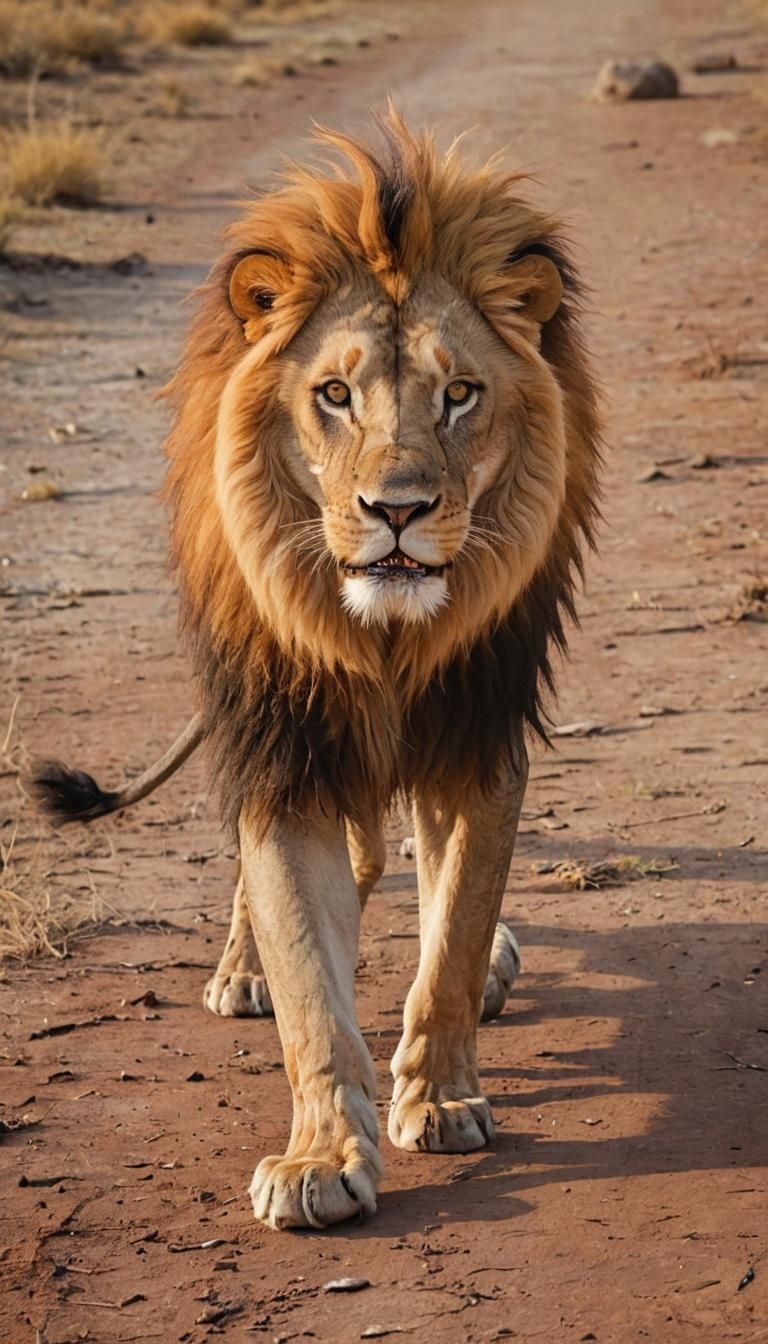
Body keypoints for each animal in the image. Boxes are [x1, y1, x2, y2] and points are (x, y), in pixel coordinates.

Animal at [32, 111, 601, 1232]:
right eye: (333, 395)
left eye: (459, 395)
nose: (398, 510)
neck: (383, 643)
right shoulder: (282, 749)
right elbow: (308, 980)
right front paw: (321, 1156)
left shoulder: (476, 739)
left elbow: (454, 934)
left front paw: (443, 1095)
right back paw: (238, 970)